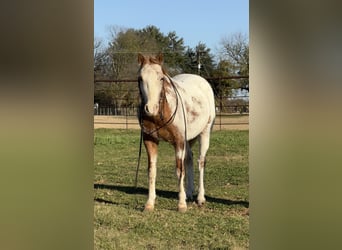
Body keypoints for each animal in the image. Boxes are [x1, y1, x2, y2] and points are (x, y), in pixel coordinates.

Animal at [137, 52, 215, 213]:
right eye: (140, 78)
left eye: (161, 78)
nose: (150, 109)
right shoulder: (150, 140)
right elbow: (152, 171)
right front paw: (149, 203)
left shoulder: (178, 141)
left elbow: (179, 171)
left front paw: (181, 205)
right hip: (188, 139)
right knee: (190, 159)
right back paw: (190, 193)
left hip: (205, 133)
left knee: (201, 161)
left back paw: (200, 198)